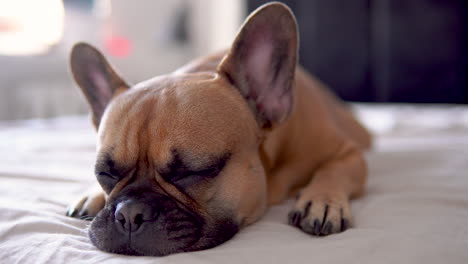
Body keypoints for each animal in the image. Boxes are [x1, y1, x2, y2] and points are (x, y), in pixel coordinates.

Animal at [66, 2, 372, 256]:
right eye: (105, 174)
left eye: (193, 172)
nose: (129, 213)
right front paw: (93, 195)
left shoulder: (349, 153)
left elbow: (335, 169)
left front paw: (322, 200)